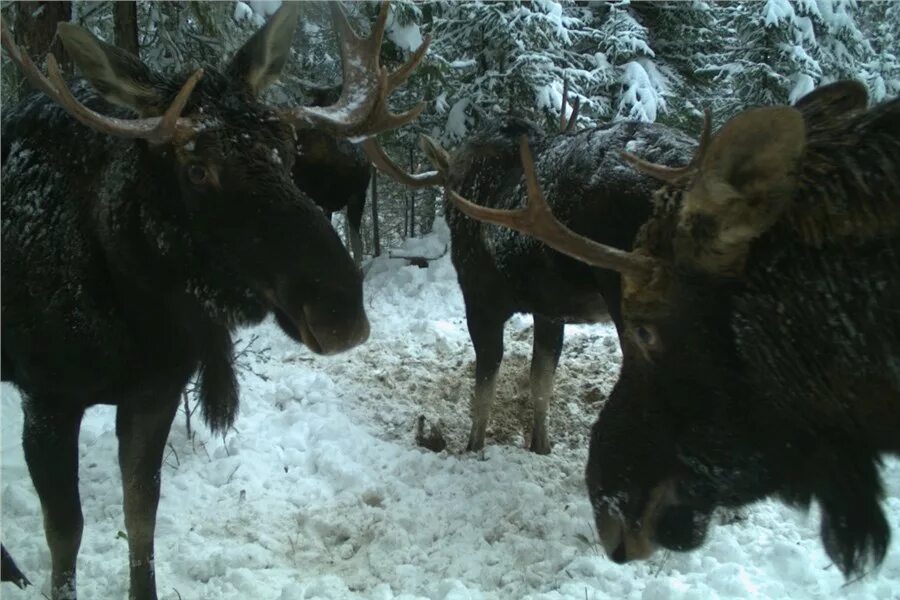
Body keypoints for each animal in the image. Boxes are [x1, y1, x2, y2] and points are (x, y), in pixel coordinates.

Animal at [0, 2, 428, 596]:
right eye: (197, 169)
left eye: (287, 152)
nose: (342, 311)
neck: (137, 313)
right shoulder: (46, 397)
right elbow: (65, 535)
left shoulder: (156, 391)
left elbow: (142, 515)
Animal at [448, 82, 900, 580]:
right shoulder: (550, 309)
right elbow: (540, 381)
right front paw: (539, 446)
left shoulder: (479, 296)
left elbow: (485, 384)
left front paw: (472, 448)